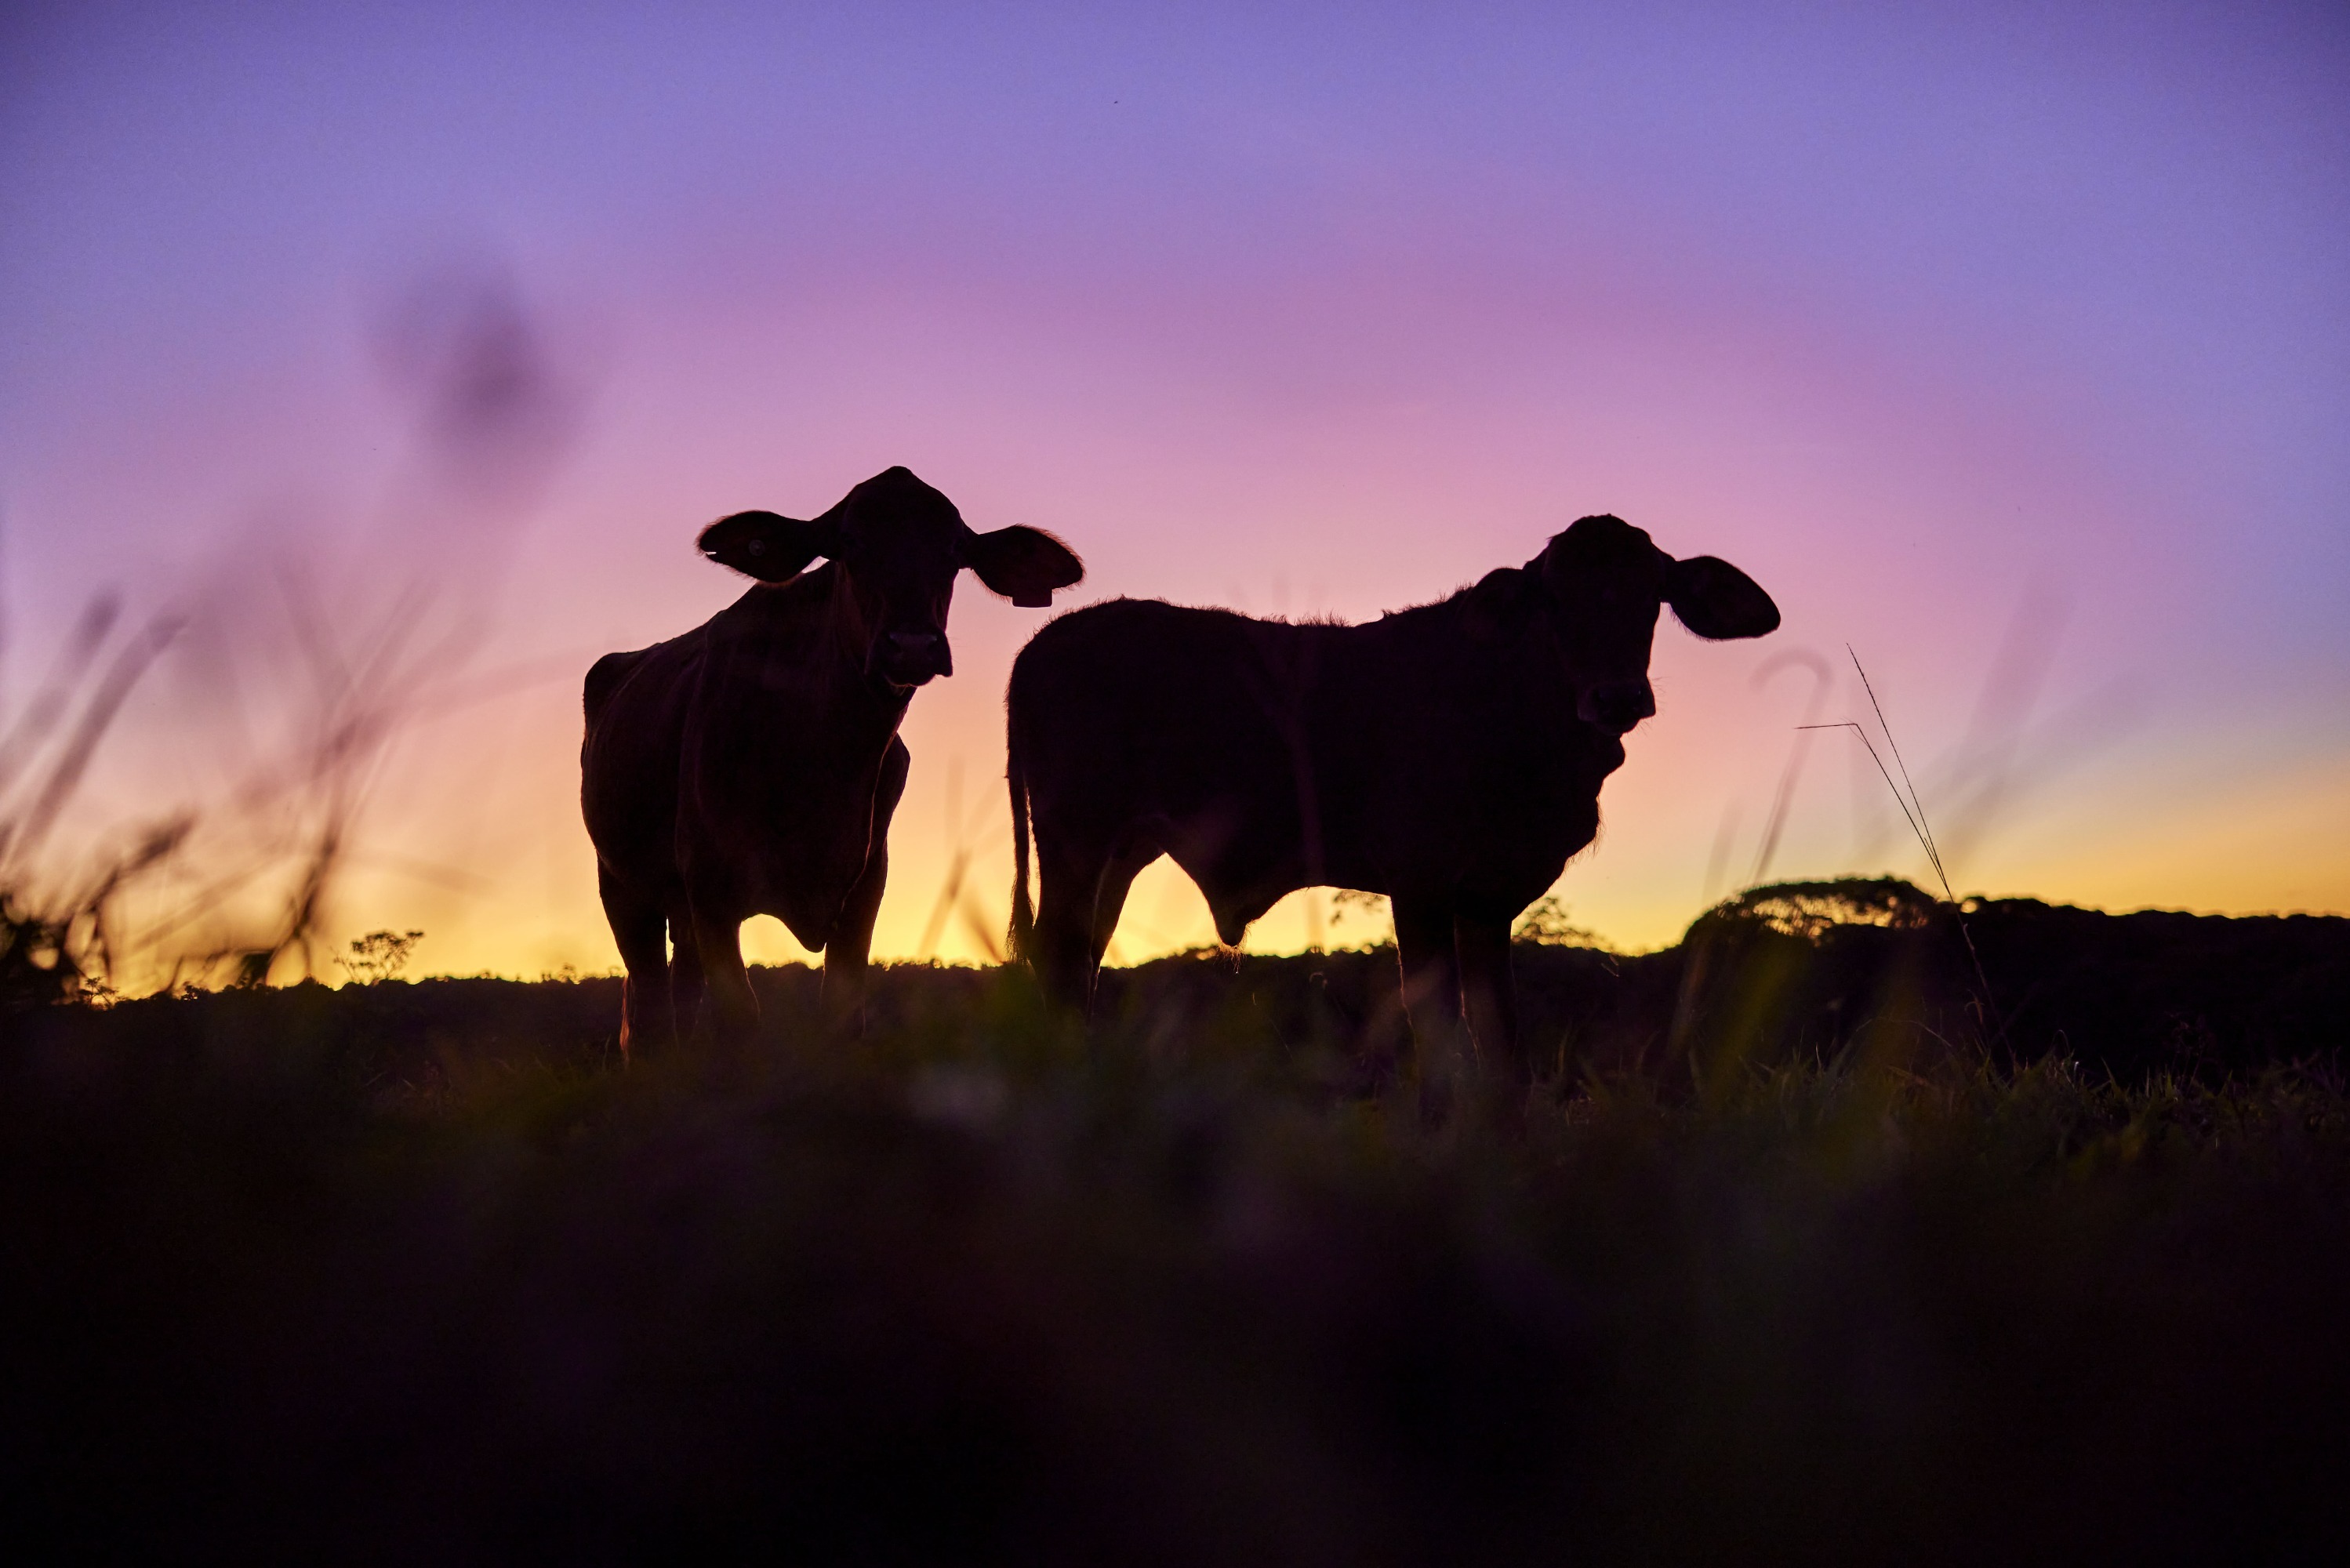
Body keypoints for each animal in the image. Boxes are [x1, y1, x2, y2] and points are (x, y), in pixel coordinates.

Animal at [587, 463, 1081, 1053]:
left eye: (955, 550)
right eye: (848, 543)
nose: (911, 645)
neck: (823, 762)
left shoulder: (864, 887)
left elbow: (844, 1017)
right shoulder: (711, 888)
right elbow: (739, 1020)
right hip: (622, 886)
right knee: (649, 1009)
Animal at [1001, 514, 1767, 1091]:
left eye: (1652, 595)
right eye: (1553, 599)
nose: (1617, 696)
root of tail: (1045, 642)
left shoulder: (1490, 897)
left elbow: (1501, 1042)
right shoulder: (1419, 879)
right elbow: (1439, 1029)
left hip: (1118, 852)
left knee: (1081, 957)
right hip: (1076, 838)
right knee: (1062, 954)